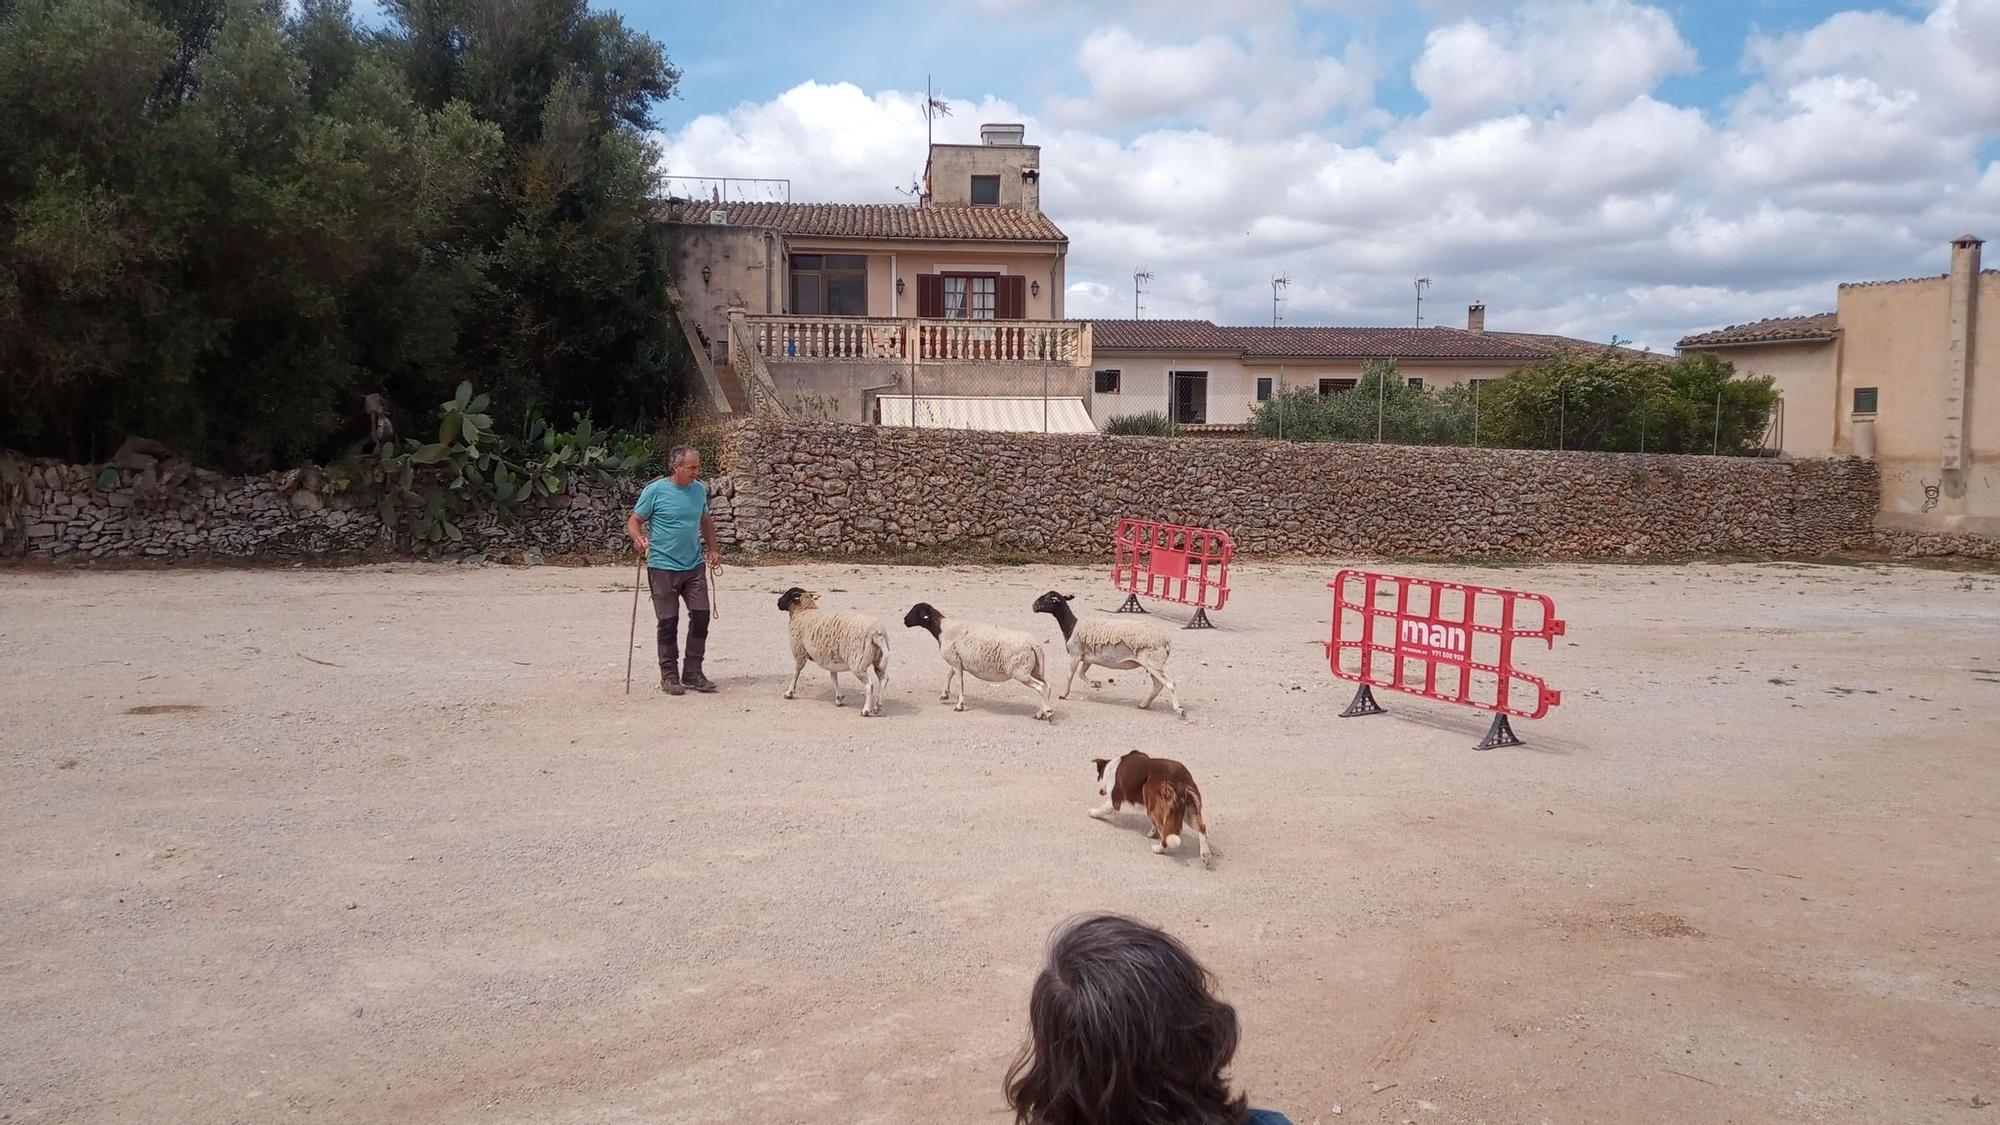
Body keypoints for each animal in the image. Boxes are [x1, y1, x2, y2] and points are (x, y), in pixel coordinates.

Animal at [776, 580, 888, 712]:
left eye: (788, 594)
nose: (778, 602)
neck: (803, 611)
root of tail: (877, 633)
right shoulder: (830, 657)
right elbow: (833, 677)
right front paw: (838, 698)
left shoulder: (799, 651)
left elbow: (796, 672)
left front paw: (789, 692)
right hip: (878, 660)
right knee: (884, 679)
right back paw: (878, 706)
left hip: (858, 663)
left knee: (869, 685)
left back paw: (866, 710)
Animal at [908, 596, 1056, 716]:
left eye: (916, 611)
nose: (905, 620)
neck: (942, 629)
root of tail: (1033, 644)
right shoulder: (957, 660)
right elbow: (949, 675)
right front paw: (944, 694)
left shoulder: (954, 661)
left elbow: (959, 682)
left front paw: (959, 705)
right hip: (1036, 669)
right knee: (1047, 686)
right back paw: (1042, 712)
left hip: (1020, 671)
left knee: (1040, 687)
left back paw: (1047, 712)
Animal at [1040, 588, 1176, 716]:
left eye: (1046, 599)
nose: (1035, 607)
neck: (1072, 626)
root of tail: (1166, 641)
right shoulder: (1087, 657)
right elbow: (1081, 674)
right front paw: (1095, 684)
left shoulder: (1075, 654)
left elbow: (1070, 675)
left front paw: (1064, 694)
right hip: (1152, 665)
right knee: (1158, 685)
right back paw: (1144, 704)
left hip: (1153, 663)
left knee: (1170, 683)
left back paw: (1178, 709)